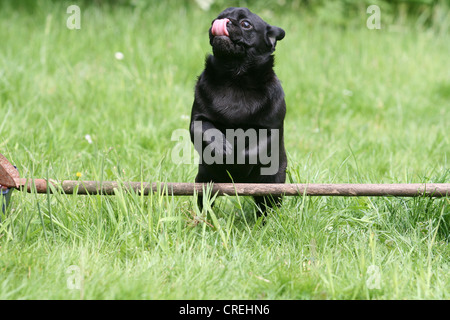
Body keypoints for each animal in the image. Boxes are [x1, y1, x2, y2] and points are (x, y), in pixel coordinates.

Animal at [188, 7, 286, 216]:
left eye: (245, 24)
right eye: (216, 18)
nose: (223, 21)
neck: (235, 78)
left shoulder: (269, 131)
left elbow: (254, 149)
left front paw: (237, 159)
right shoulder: (198, 120)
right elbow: (207, 130)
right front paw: (222, 148)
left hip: (272, 185)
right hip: (204, 180)